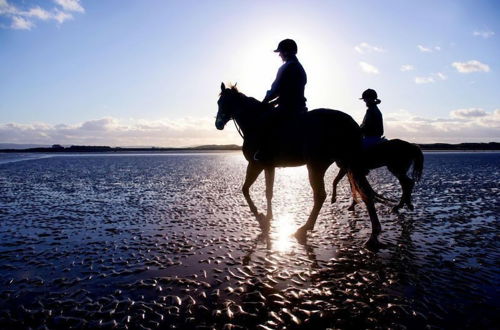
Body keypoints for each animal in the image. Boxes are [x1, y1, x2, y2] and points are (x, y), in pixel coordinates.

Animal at [215, 82, 382, 248]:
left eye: (226, 102)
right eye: (218, 102)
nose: (218, 124)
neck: (255, 122)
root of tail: (351, 123)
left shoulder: (255, 165)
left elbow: (245, 190)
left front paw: (260, 217)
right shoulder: (268, 166)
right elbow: (268, 192)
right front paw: (268, 216)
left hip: (316, 166)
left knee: (321, 195)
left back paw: (304, 228)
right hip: (348, 165)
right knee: (366, 193)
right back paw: (374, 234)